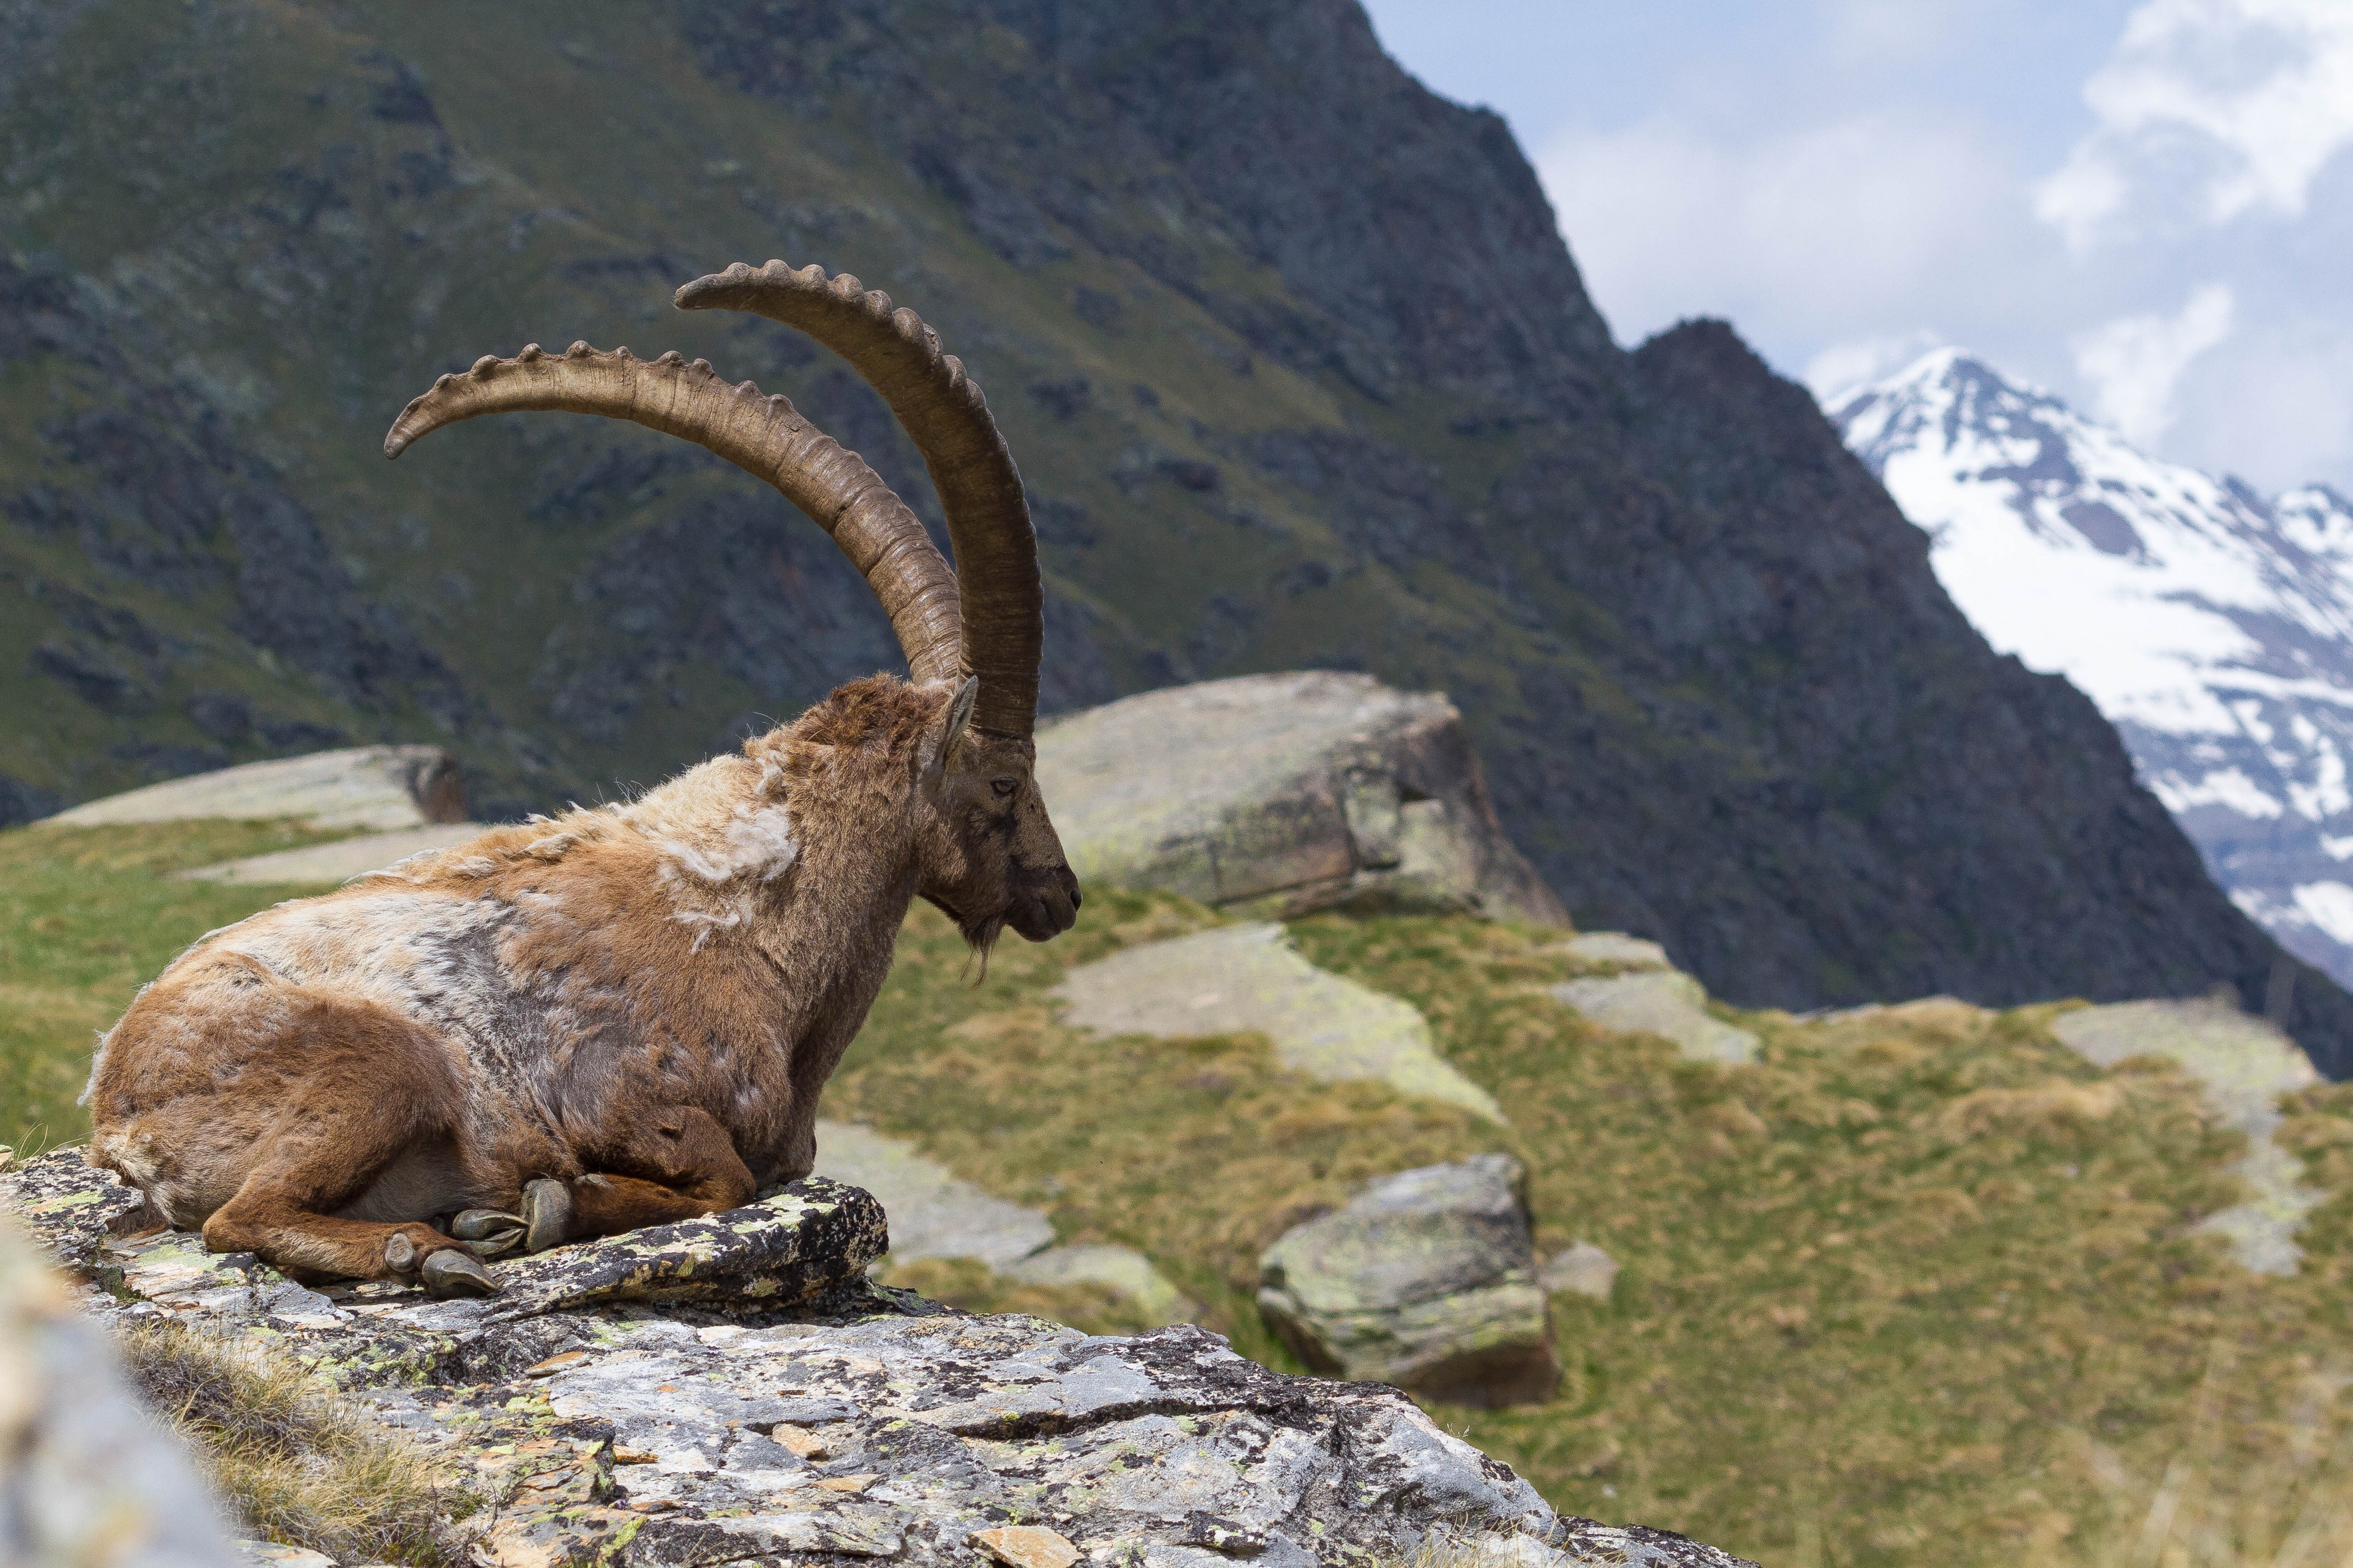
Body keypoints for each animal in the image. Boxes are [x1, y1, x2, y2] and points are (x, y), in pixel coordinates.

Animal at [82, 262, 1081, 1296]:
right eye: (1005, 782)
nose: (1062, 894)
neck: (758, 911)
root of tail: (118, 1111)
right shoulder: (621, 1089)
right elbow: (719, 1176)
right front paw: (557, 1201)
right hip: (385, 1067)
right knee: (239, 1219)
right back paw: (435, 1245)